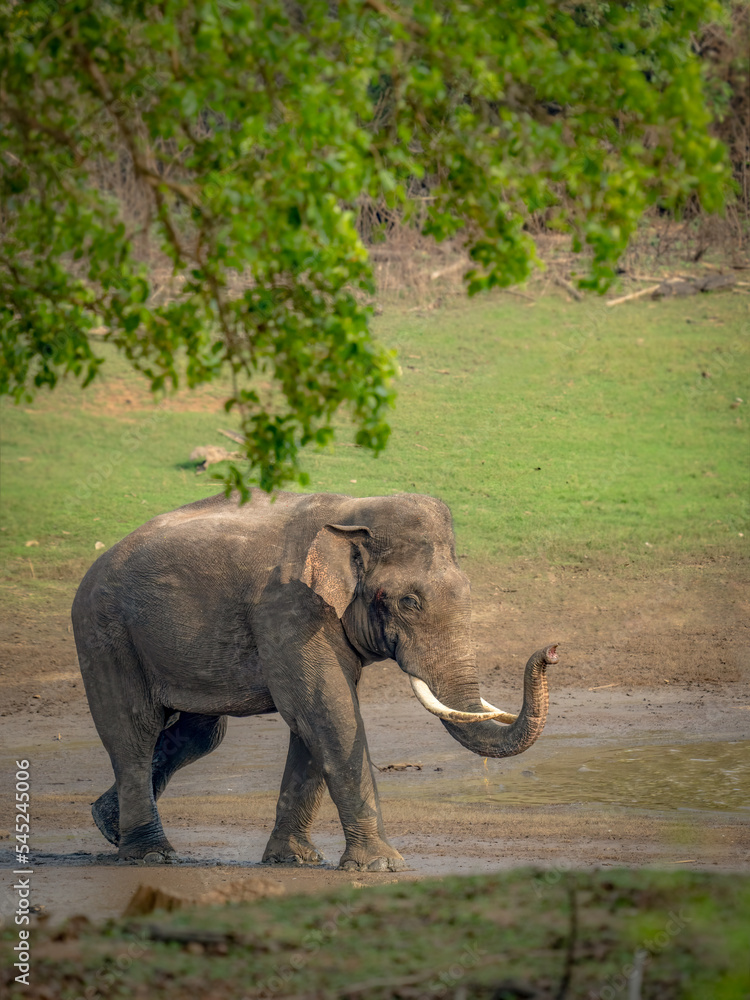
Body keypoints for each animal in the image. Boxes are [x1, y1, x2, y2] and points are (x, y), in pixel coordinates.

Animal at [72, 489, 558, 871]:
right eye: (409, 602)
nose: (550, 650)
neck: (352, 513)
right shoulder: (289, 607)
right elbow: (328, 711)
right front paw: (384, 865)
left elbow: (312, 720)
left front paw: (295, 860)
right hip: (105, 633)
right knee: (134, 730)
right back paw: (149, 854)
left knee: (201, 734)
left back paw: (106, 824)